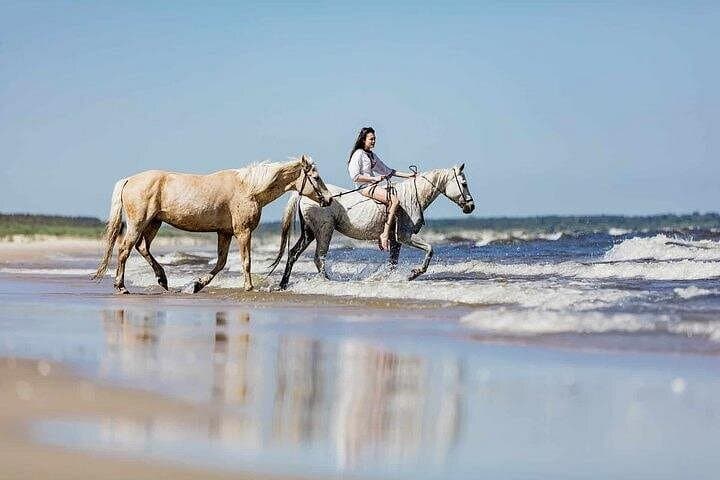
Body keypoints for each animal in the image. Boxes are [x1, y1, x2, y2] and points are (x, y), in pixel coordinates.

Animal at [92, 155, 332, 293]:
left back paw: (163, 280)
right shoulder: (243, 232)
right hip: (139, 222)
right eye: (316, 178)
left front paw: (198, 284)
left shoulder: (224, 233)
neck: (249, 189)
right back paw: (121, 286)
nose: (329, 199)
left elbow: (221, 263)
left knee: (142, 247)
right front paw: (249, 287)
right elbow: (246, 261)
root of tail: (129, 180)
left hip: (154, 223)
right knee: (125, 249)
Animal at [269, 164, 475, 289]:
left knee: (294, 254)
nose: (471, 206)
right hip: (324, 231)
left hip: (309, 232)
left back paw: (283, 284)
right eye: (464, 184)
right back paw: (329, 283)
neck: (411, 198)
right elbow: (430, 249)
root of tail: (304, 196)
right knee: (319, 258)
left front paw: (389, 278)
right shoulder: (405, 236)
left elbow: (393, 263)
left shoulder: (395, 240)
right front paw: (414, 273)